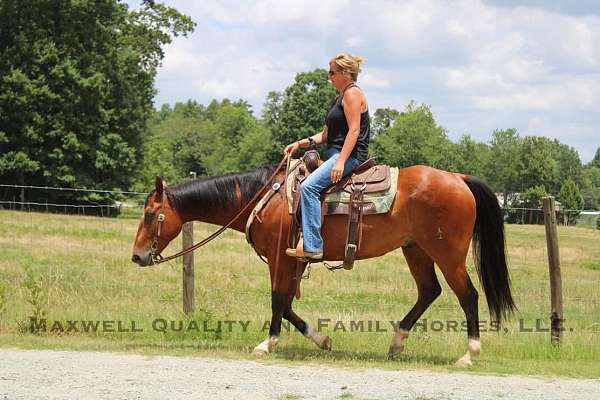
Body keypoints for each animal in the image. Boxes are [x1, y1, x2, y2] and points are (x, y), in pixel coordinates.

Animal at [131, 162, 516, 366]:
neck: (265, 198)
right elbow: (287, 304)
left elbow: (277, 301)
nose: (137, 255)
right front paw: (322, 339)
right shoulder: (294, 261)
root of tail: (459, 179)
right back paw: (396, 343)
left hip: (447, 253)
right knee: (429, 291)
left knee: (468, 296)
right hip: (416, 250)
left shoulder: (279, 259)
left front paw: (267, 344)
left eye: (150, 214)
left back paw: (469, 354)